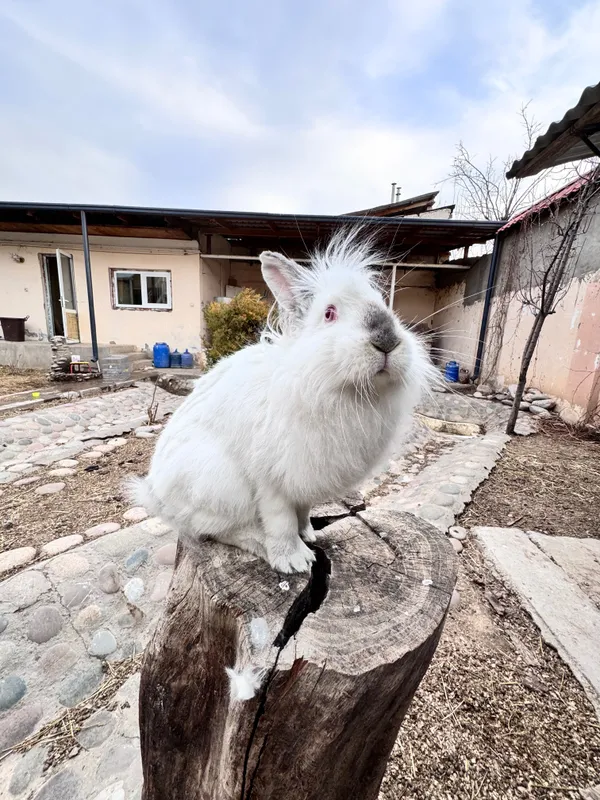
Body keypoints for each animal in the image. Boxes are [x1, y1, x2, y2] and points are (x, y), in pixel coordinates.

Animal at [130, 230, 436, 573]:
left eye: (386, 306)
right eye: (329, 313)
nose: (387, 341)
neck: (335, 386)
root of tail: (156, 497)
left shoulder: (303, 483)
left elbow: (302, 513)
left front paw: (310, 535)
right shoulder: (272, 482)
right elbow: (281, 522)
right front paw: (295, 560)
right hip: (219, 486)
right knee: (217, 530)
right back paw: (258, 543)